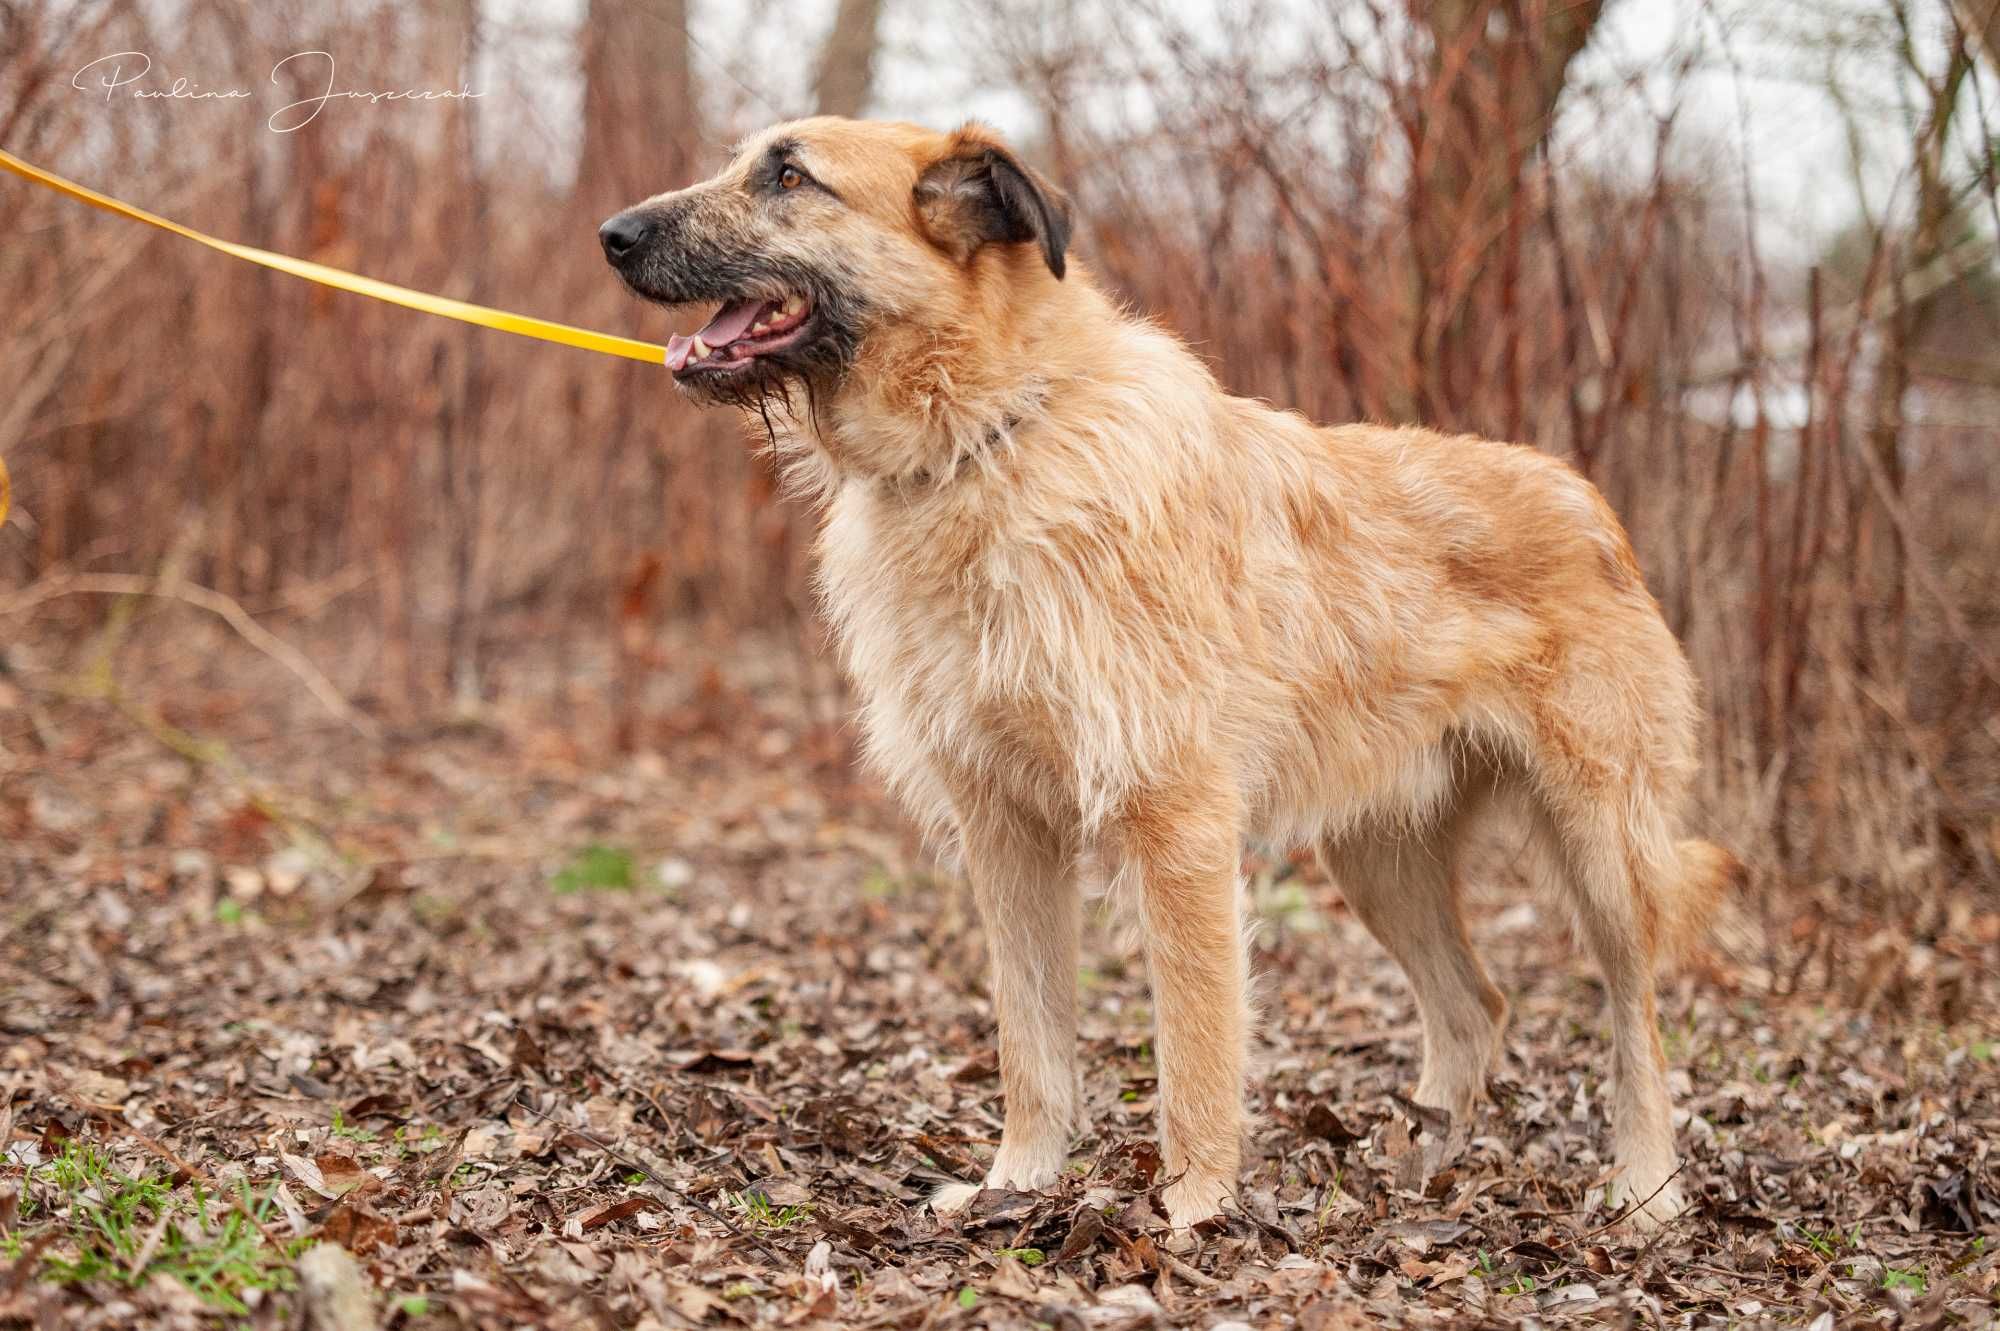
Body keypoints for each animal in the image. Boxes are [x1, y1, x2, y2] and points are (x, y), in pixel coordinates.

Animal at [600, 119, 1744, 1231]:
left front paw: (1192, 1208)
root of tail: (1590, 503)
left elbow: (1194, 1044)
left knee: (1636, 1018)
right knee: (1476, 1005)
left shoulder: (1177, 818)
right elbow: (1029, 1041)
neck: (988, 439)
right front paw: (1018, 1183)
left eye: (789, 175)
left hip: (1602, 849)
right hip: (1378, 857)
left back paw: (1645, 1189)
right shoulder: (1005, 828)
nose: (612, 234)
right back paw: (1419, 1172)